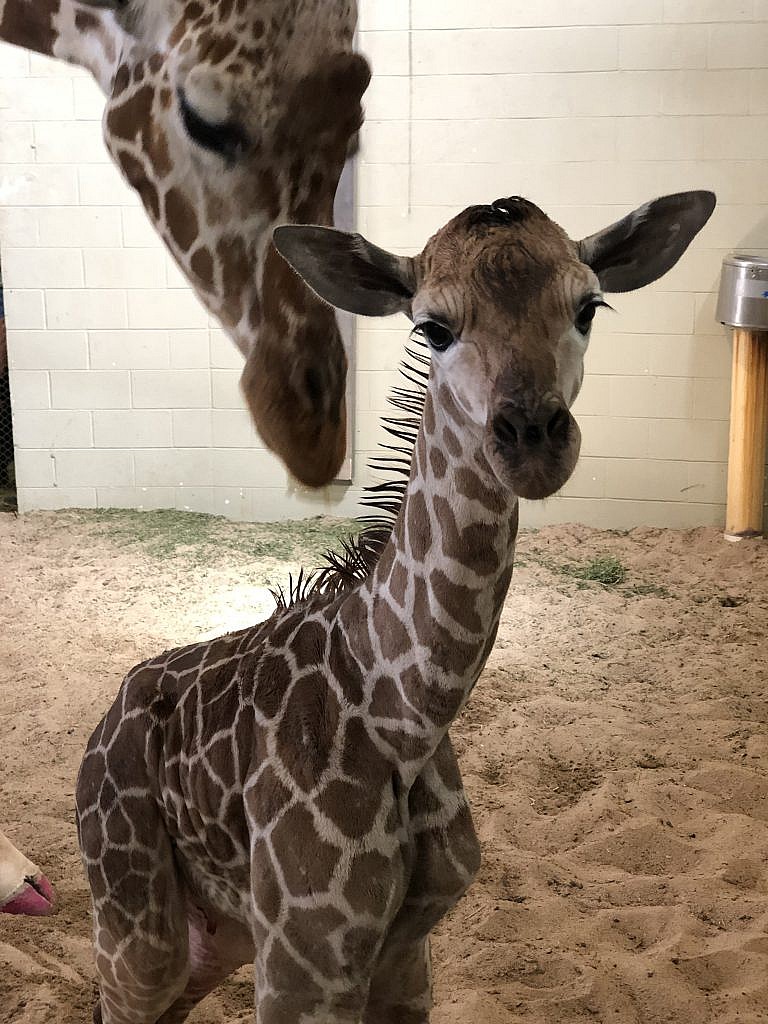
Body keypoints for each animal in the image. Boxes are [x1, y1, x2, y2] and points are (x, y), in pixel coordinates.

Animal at [76, 188, 716, 1019]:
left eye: (589, 307)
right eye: (433, 327)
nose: (532, 436)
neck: (406, 716)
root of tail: (99, 731)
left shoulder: (404, 955)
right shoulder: (305, 962)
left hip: (217, 934)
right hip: (139, 926)